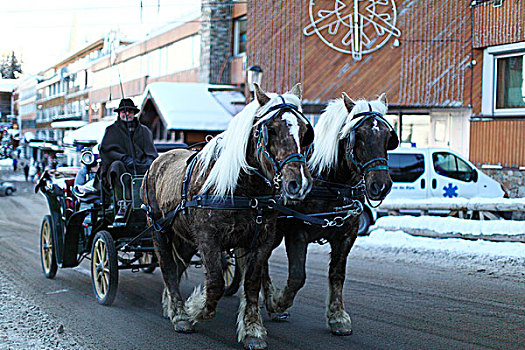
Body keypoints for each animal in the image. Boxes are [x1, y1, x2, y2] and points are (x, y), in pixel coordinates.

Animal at [143, 83, 314, 348]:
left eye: (305, 131)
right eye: (272, 129)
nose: (299, 183)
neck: (244, 191)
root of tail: (158, 160)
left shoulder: (261, 240)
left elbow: (252, 283)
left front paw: (252, 330)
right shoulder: (208, 238)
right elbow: (215, 283)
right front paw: (194, 308)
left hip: (184, 238)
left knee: (178, 265)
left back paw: (170, 306)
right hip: (159, 231)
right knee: (168, 268)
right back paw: (180, 315)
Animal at [260, 93, 400, 336]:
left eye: (387, 137)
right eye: (358, 136)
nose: (380, 185)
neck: (330, 183)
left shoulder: (346, 235)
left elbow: (337, 274)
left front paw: (338, 317)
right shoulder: (297, 233)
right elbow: (297, 276)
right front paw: (278, 302)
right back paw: (269, 299)